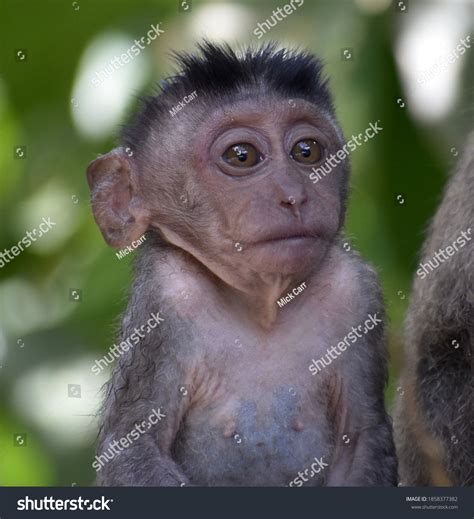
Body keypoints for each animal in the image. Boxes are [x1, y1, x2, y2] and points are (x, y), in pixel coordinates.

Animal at [86, 41, 396, 488]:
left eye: (307, 152)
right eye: (242, 156)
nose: (293, 196)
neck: (263, 307)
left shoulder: (355, 289)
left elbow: (365, 438)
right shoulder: (166, 295)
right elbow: (131, 448)